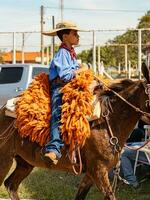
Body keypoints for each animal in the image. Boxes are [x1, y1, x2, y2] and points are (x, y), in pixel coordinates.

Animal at [0, 63, 150, 200]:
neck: (108, 123)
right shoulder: (98, 171)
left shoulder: (90, 174)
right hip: (5, 159)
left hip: (25, 162)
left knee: (11, 185)